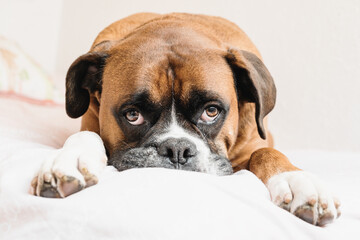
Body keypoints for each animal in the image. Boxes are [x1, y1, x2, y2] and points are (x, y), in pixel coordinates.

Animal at [30, 12, 340, 227]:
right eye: (133, 115)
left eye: (211, 111)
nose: (177, 149)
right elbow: (86, 135)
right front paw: (69, 160)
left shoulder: (256, 143)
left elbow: (266, 153)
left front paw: (298, 181)